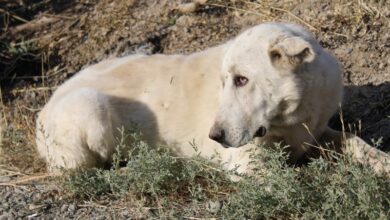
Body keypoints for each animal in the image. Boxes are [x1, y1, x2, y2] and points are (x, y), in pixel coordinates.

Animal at [35, 21, 388, 174]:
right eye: (225, 82)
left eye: (242, 80)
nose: (214, 136)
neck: (292, 116)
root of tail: (43, 107)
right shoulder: (246, 162)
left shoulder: (315, 131)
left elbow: (354, 141)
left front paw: (381, 162)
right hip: (90, 107)